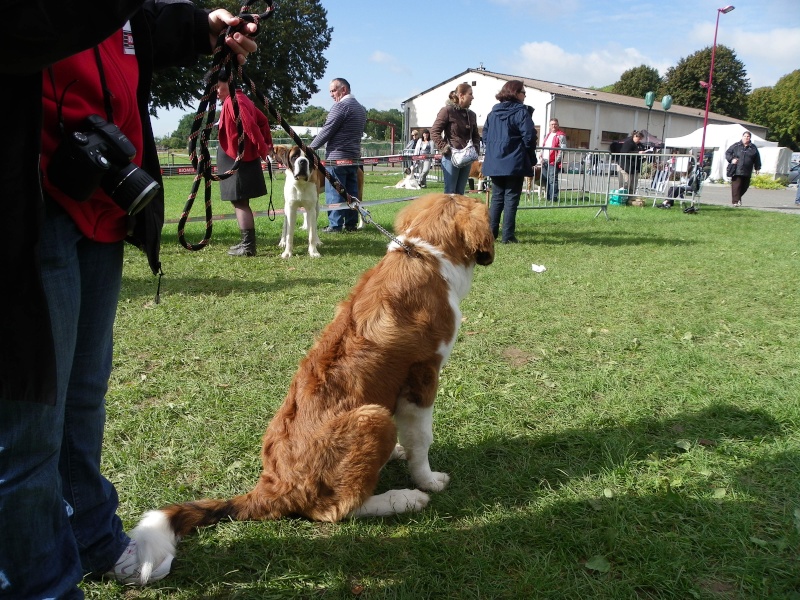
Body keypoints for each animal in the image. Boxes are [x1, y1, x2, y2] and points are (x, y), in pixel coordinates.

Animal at [131, 195, 494, 584]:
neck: (422, 253)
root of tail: (272, 488)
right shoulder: (423, 378)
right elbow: (421, 439)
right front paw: (427, 480)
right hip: (372, 418)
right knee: (338, 510)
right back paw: (402, 499)